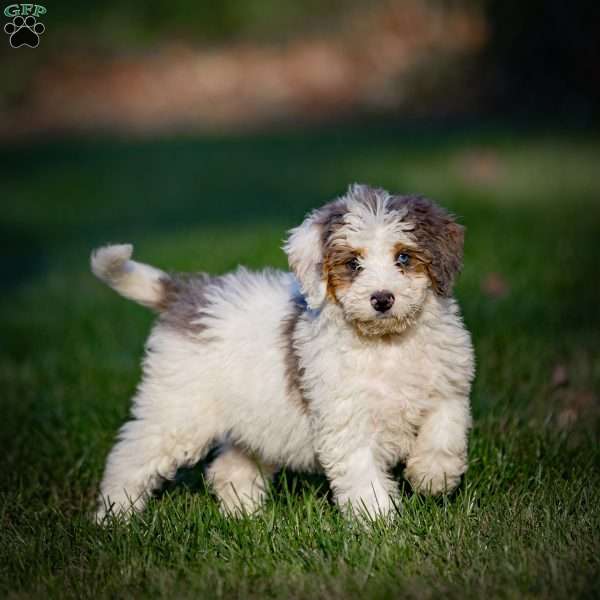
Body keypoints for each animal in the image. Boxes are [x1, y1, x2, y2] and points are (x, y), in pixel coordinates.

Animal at [90, 185, 474, 524]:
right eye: (353, 264)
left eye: (404, 257)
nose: (382, 299)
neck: (387, 344)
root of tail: (189, 294)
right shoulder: (347, 422)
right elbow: (363, 476)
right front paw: (380, 524)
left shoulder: (449, 387)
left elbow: (445, 430)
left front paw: (433, 475)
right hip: (178, 412)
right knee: (130, 458)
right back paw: (113, 516)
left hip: (255, 421)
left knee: (229, 468)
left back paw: (245, 515)